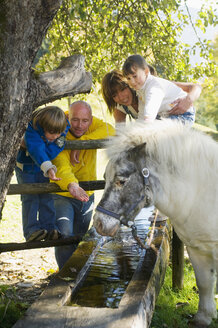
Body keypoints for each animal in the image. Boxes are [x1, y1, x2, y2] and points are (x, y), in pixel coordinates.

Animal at [93, 119, 218, 326]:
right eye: (104, 178)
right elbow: (205, 283)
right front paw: (203, 317)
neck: (202, 192)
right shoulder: (197, 249)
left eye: (121, 180)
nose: (98, 224)